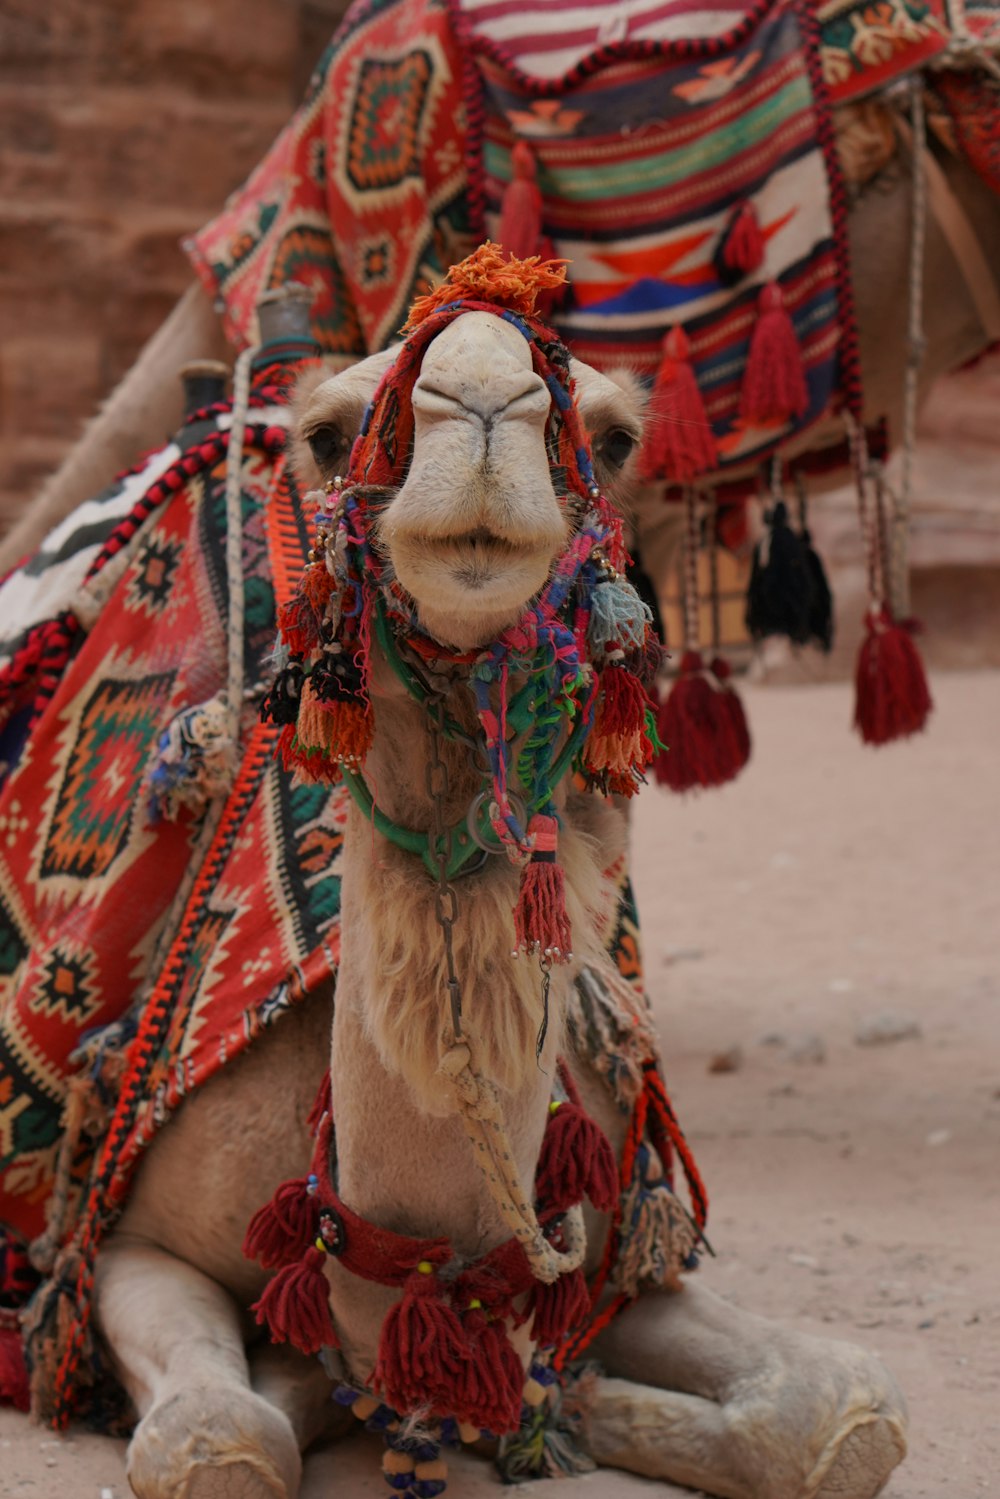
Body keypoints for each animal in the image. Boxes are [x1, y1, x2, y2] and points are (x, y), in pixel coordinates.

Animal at [89, 266, 911, 1499]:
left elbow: (837, 1415)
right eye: (328, 435)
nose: (480, 397)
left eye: (613, 437)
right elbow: (223, 1440)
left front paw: (571, 1406)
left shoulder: (614, 1246)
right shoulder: (127, 1246)